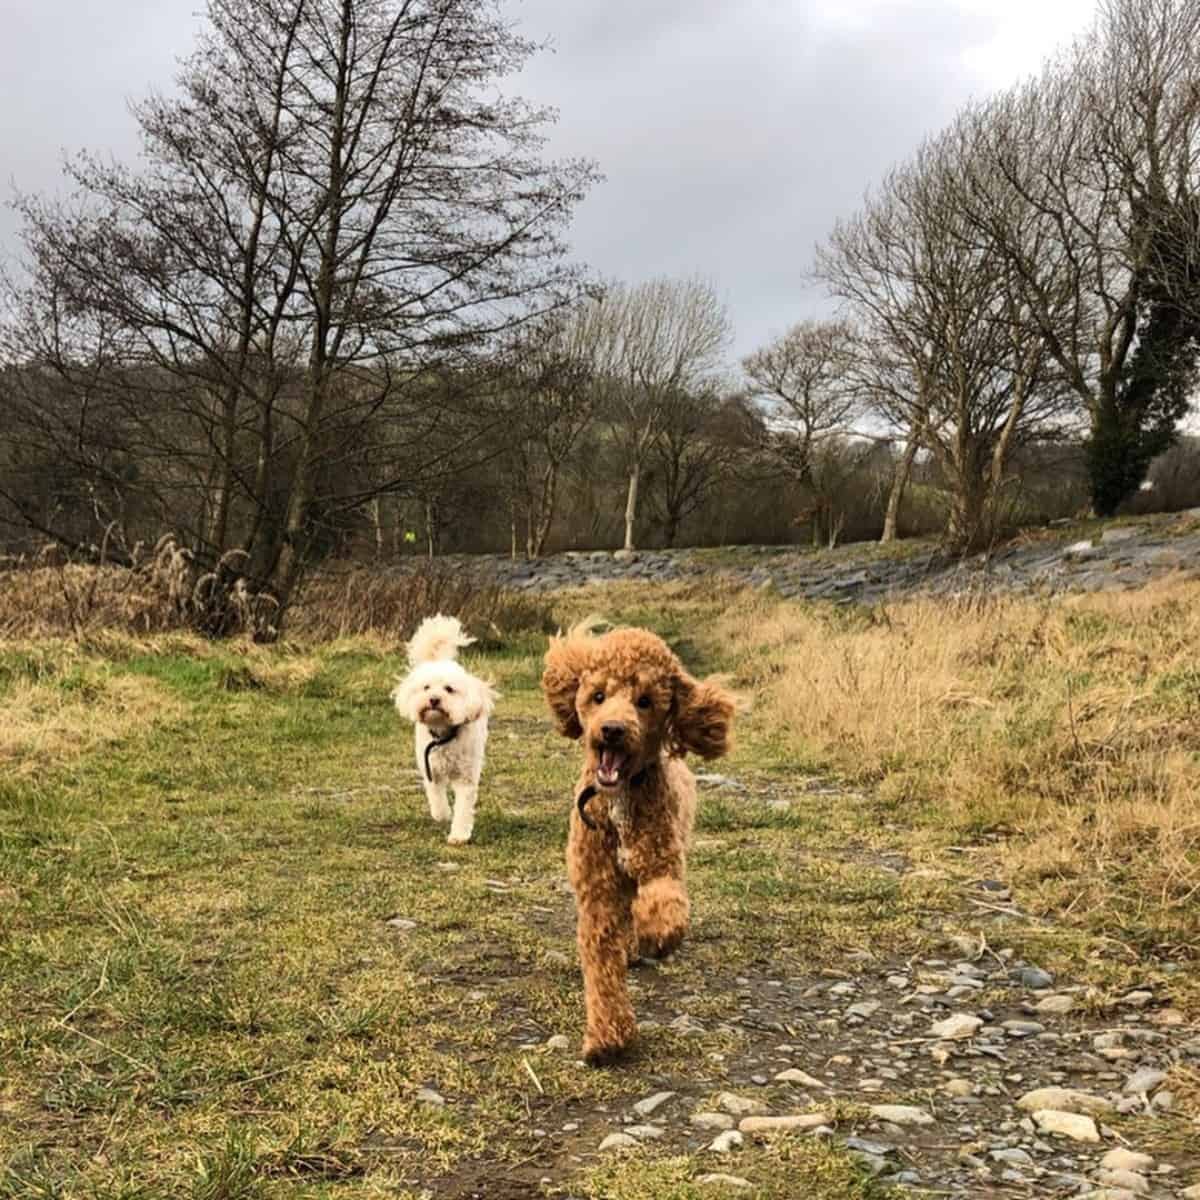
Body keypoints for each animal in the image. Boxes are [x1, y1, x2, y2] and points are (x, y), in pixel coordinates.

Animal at [393, 619, 496, 844]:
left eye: (449, 689)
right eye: (426, 687)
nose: (433, 699)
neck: (444, 734)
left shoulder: (466, 776)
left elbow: (463, 808)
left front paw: (458, 835)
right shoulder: (431, 768)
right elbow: (436, 796)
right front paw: (442, 814)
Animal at [542, 624, 729, 1065]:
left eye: (644, 702)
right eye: (597, 696)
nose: (612, 729)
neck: (618, 802)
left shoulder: (660, 860)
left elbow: (663, 901)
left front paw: (657, 934)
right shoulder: (597, 894)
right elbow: (602, 970)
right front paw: (608, 1038)